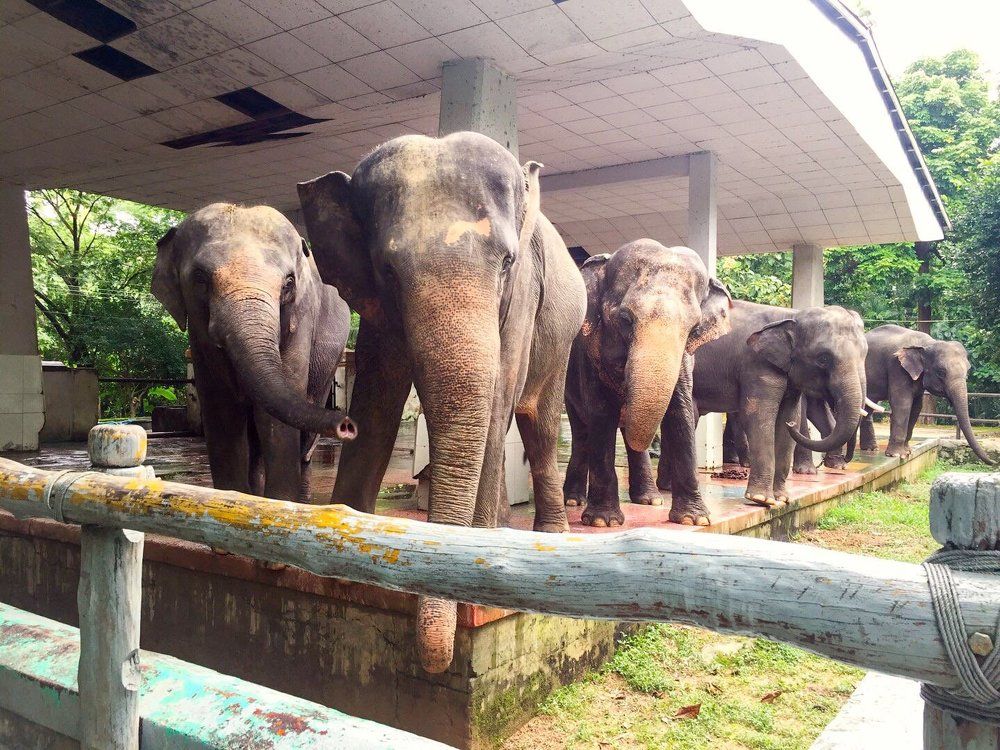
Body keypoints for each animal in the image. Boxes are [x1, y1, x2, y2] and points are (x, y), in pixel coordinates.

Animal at [151, 203, 355, 503]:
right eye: (199, 277)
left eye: (289, 283)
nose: (347, 426)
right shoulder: (199, 339)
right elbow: (222, 412)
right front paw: (232, 498)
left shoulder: (301, 318)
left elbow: (274, 419)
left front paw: (280, 503)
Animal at [294, 132, 587, 674]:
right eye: (387, 269)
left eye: (508, 262)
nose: (435, 662)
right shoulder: (377, 307)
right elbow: (378, 395)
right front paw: (345, 542)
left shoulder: (522, 297)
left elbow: (498, 397)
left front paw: (478, 556)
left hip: (561, 338)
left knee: (536, 420)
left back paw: (547, 533)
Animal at [562, 241, 732, 527]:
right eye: (625, 319)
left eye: (694, 328)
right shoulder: (589, 356)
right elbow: (601, 415)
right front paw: (602, 522)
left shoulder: (684, 361)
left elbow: (681, 413)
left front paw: (694, 519)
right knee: (582, 431)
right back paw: (573, 501)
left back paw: (650, 500)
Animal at [687, 301, 868, 507]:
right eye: (823, 359)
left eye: (865, 354)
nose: (845, 460)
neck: (791, 316)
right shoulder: (757, 365)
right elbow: (758, 417)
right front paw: (761, 499)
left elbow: (787, 418)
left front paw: (781, 499)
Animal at [858, 325, 995, 464]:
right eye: (941, 372)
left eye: (967, 371)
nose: (994, 462)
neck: (926, 344)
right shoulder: (897, 368)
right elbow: (903, 404)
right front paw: (897, 455)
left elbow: (917, 407)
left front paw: (908, 452)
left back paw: (871, 449)